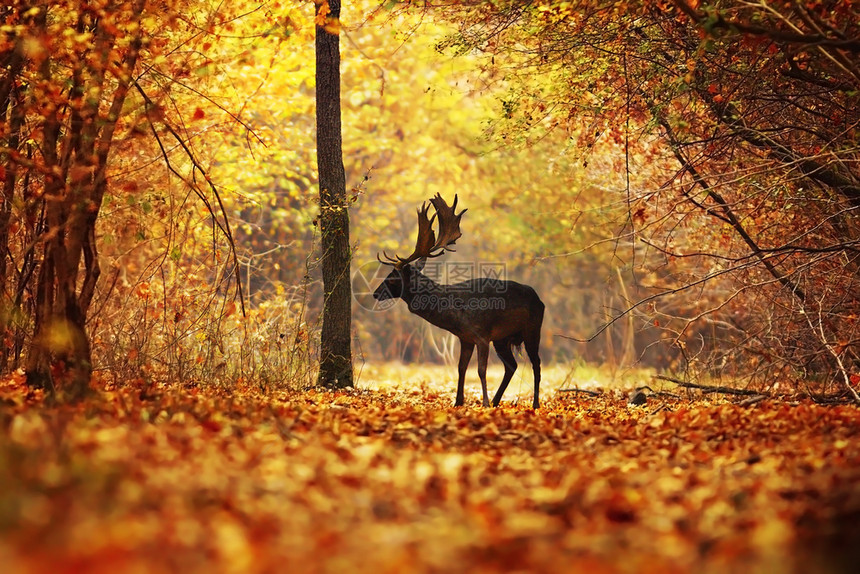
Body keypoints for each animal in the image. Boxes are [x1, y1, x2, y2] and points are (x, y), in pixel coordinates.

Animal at [372, 195, 544, 410]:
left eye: (393, 278)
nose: (375, 293)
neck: (456, 314)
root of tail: (540, 300)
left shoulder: (482, 334)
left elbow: (481, 370)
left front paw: (483, 403)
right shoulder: (466, 338)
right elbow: (461, 368)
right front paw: (458, 402)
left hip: (532, 329)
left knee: (536, 364)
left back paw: (534, 403)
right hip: (503, 338)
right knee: (512, 365)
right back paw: (497, 401)